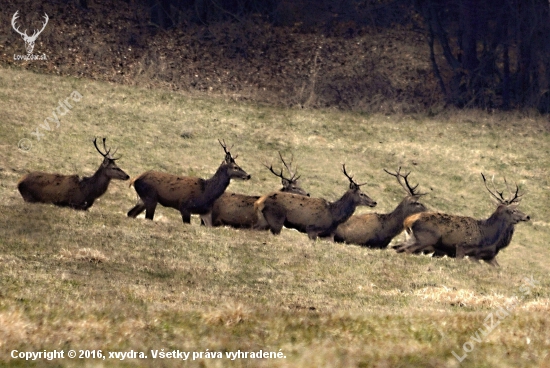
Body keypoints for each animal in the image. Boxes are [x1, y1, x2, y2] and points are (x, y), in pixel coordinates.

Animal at [394, 174, 532, 266]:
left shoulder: (481, 256)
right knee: (406, 250)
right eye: (513, 210)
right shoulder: (463, 248)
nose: (527, 216)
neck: (486, 235)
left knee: (398, 248)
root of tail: (408, 221)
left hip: (412, 238)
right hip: (425, 239)